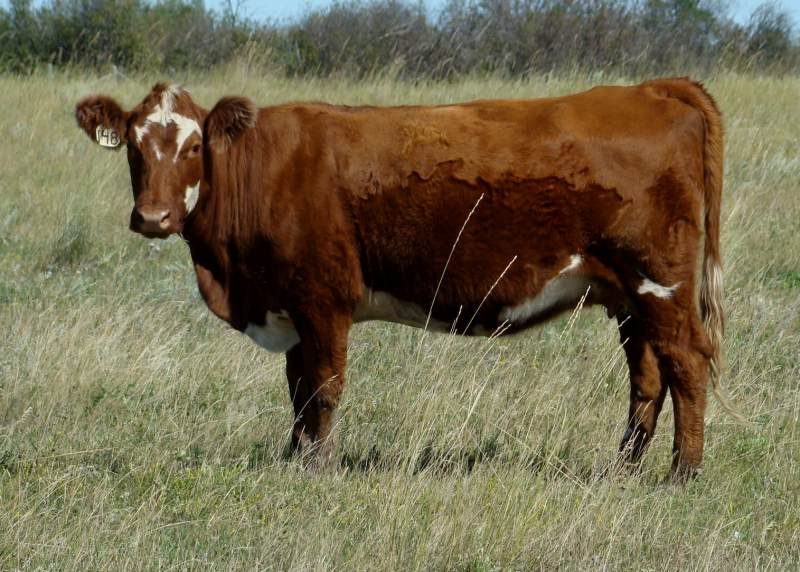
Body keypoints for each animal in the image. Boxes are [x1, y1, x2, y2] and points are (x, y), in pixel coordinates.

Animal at [75, 78, 740, 481]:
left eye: (193, 148)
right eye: (132, 146)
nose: (153, 218)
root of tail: (651, 88)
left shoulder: (323, 299)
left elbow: (322, 388)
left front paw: (319, 469)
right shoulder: (290, 306)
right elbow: (296, 389)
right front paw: (294, 458)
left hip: (660, 284)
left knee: (686, 364)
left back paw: (682, 475)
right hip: (627, 296)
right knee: (647, 378)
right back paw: (623, 469)